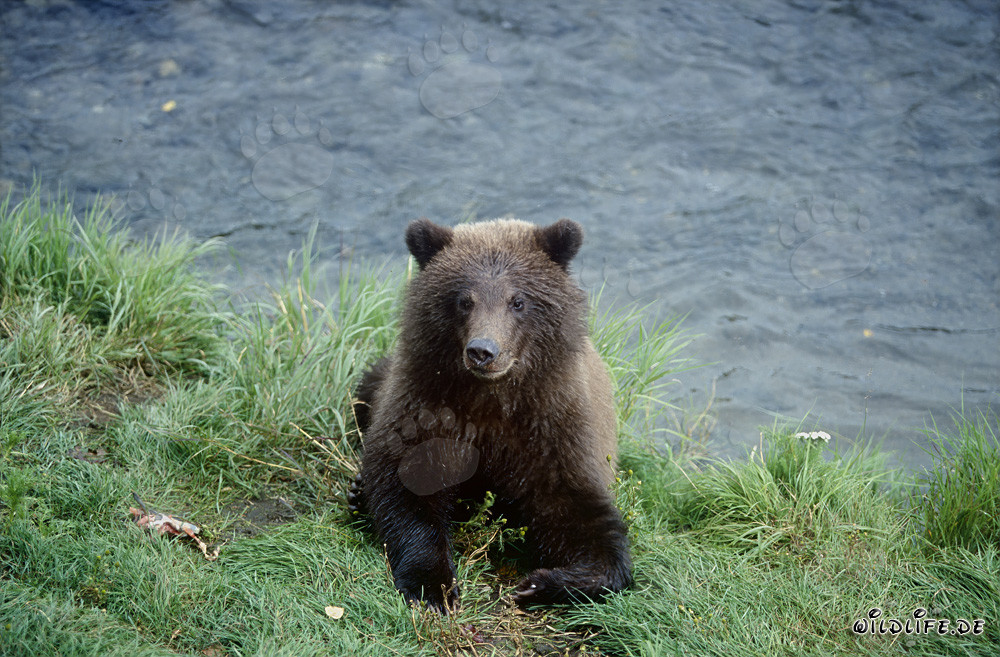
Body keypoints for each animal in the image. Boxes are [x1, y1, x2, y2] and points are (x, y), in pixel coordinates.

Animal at [348, 217, 631, 610]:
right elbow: (408, 489)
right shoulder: (426, 405)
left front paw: (544, 582)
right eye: (464, 300)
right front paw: (434, 586)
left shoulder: (554, 428)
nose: (483, 351)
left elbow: (580, 516)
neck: (492, 398)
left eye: (518, 300)